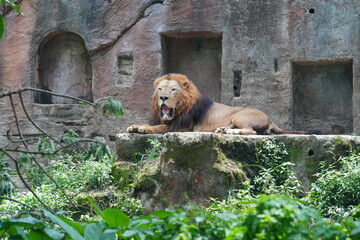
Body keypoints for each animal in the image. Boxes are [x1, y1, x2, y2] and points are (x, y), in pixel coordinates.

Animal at [126, 72, 304, 135]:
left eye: (173, 90)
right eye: (160, 89)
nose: (163, 97)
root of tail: (270, 118)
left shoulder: (184, 127)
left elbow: (160, 127)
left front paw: (144, 128)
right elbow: (154, 124)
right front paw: (134, 126)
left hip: (239, 115)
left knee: (251, 131)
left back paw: (231, 132)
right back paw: (223, 130)